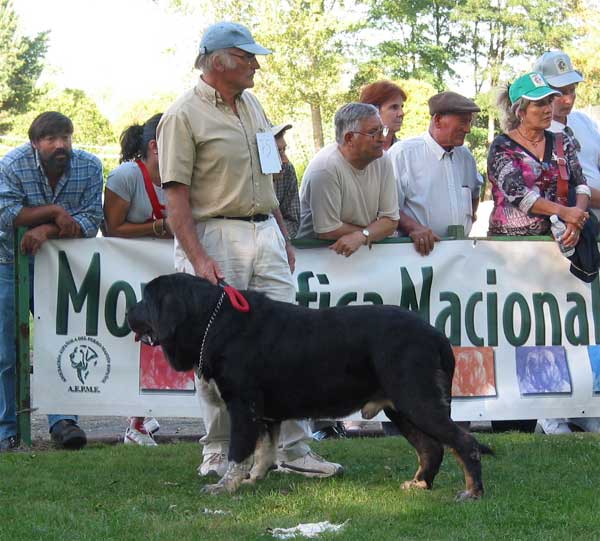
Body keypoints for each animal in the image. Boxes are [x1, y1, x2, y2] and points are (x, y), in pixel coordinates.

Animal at [127, 272, 492, 500]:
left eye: (145, 300)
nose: (128, 313)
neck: (211, 322)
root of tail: (436, 335)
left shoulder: (243, 406)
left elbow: (239, 452)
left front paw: (225, 486)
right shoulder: (265, 414)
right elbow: (265, 450)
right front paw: (254, 478)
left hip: (417, 400)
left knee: (464, 443)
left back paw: (472, 492)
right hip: (401, 408)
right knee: (432, 448)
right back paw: (419, 484)